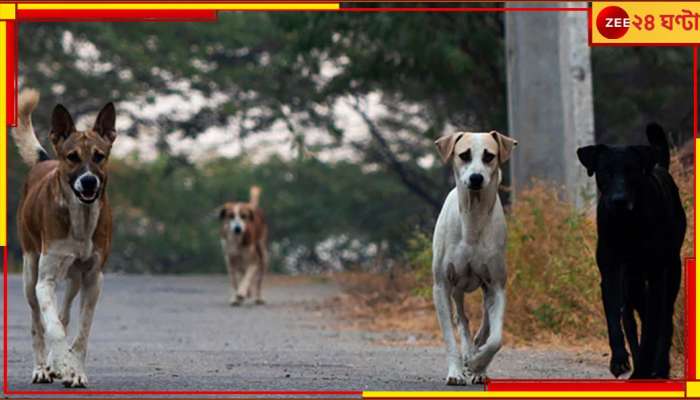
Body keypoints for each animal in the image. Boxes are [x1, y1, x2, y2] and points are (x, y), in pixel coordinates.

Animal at [13, 88, 117, 388]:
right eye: (72, 157)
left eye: (99, 156)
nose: (89, 181)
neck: (80, 218)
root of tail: (44, 160)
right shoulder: (44, 280)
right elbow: (54, 329)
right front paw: (60, 363)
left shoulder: (93, 279)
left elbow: (81, 332)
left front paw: (76, 371)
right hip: (29, 270)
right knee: (38, 322)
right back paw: (42, 368)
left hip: (74, 279)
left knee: (65, 312)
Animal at [430, 130, 516, 384]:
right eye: (464, 155)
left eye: (489, 155)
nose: (476, 178)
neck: (473, 219)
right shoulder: (441, 285)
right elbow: (449, 335)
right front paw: (456, 371)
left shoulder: (497, 284)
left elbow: (496, 339)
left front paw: (478, 365)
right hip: (456, 287)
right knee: (461, 317)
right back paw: (468, 352)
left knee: (485, 323)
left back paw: (476, 356)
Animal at [576, 123, 688, 380]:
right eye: (605, 171)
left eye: (632, 172)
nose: (619, 200)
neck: (627, 224)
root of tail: (660, 166)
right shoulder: (611, 273)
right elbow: (614, 321)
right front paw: (619, 360)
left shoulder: (657, 276)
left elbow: (652, 327)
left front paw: (647, 365)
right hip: (633, 285)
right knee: (637, 315)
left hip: (671, 272)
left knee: (664, 319)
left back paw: (660, 367)